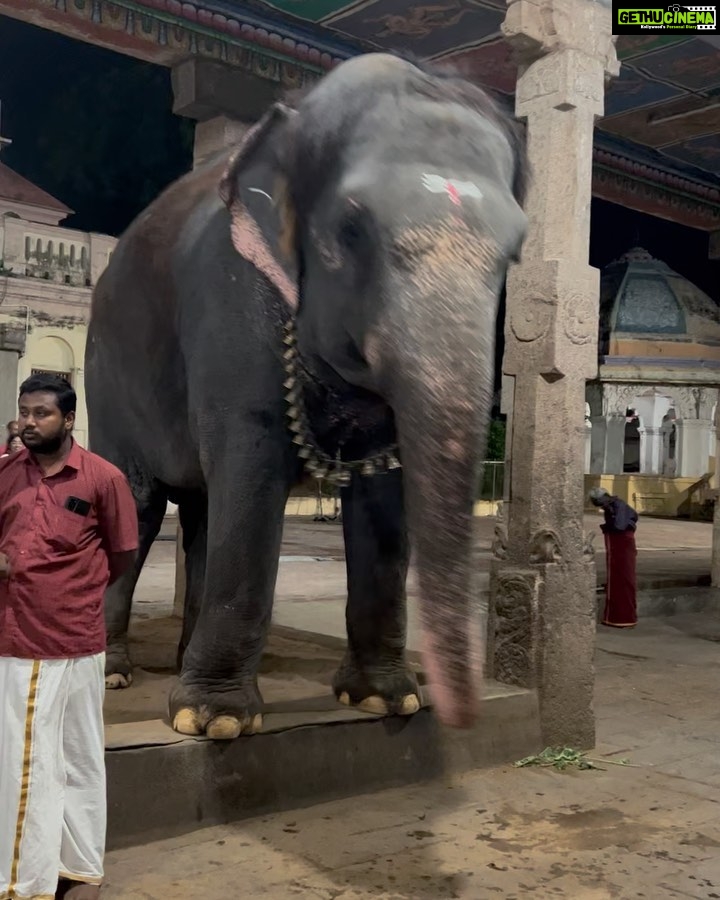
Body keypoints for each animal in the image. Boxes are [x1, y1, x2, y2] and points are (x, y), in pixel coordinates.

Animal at [85, 52, 527, 740]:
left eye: (515, 250)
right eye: (350, 230)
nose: (463, 716)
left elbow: (383, 493)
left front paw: (386, 701)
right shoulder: (231, 299)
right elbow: (252, 466)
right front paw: (214, 722)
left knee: (202, 512)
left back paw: (182, 660)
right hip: (106, 375)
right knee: (139, 500)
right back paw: (112, 675)